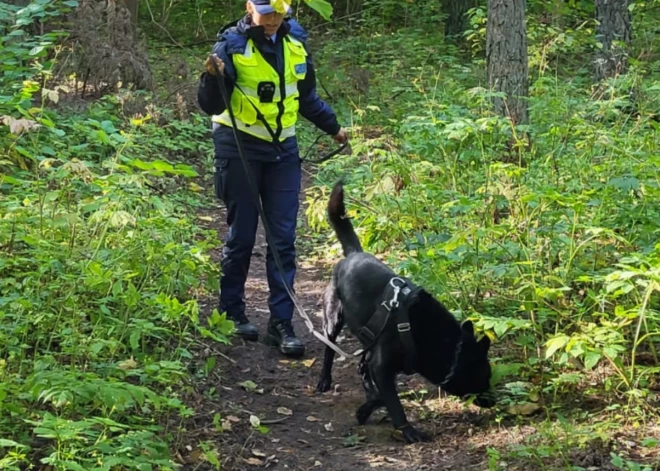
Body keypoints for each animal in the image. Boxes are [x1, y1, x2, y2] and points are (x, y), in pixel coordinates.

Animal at [316, 181, 496, 442]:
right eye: (485, 376)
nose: (494, 401)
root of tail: (353, 253)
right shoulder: (382, 367)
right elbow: (392, 402)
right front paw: (408, 430)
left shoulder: (382, 364)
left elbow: (380, 393)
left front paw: (365, 409)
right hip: (333, 319)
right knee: (329, 350)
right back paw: (324, 379)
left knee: (361, 364)